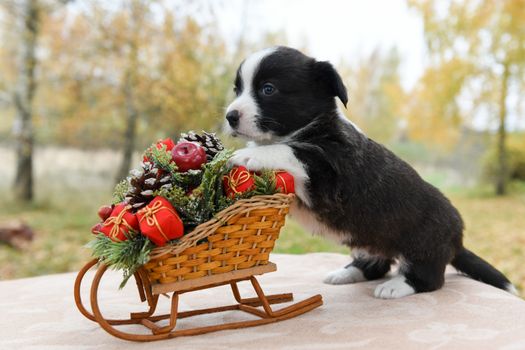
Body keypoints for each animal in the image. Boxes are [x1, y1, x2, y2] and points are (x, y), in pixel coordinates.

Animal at [223, 45, 512, 298]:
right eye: (237, 89)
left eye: (268, 89)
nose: (230, 116)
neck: (309, 127)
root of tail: (457, 239)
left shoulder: (329, 176)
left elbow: (291, 151)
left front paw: (246, 156)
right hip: (369, 239)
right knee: (378, 263)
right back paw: (347, 273)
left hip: (423, 245)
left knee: (430, 278)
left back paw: (396, 287)